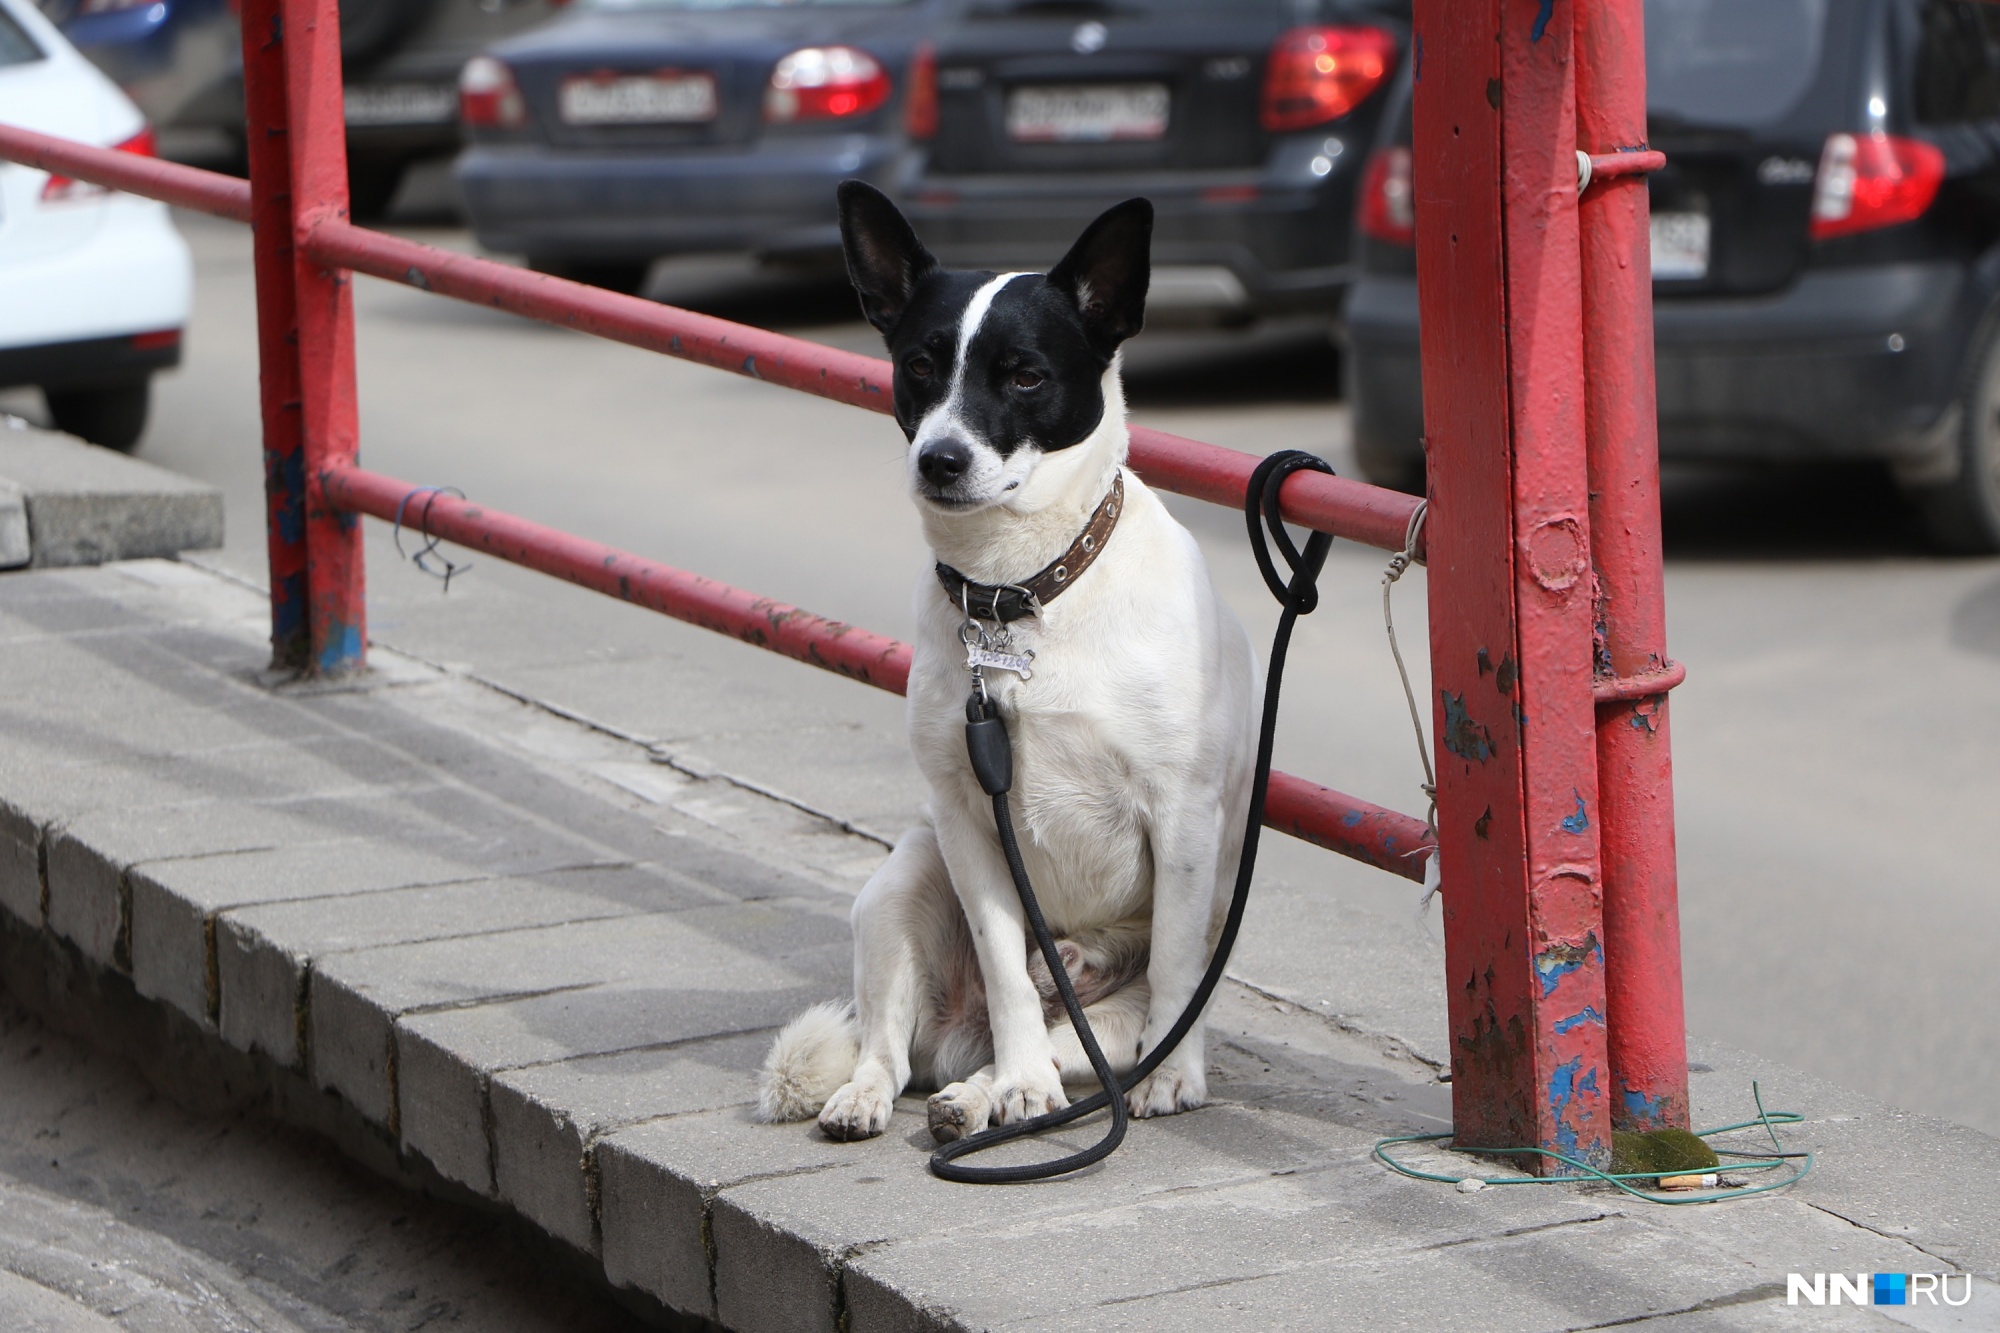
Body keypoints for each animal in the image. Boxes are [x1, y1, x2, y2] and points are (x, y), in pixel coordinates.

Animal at [756, 182, 1256, 1144]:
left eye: (1025, 375)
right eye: (918, 365)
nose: (940, 459)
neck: (1020, 595)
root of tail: (956, 1036)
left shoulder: (1182, 816)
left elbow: (1179, 966)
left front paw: (1175, 1078)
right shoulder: (966, 819)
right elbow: (1006, 968)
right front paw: (1020, 1081)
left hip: (1109, 1014)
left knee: (1090, 1041)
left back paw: (992, 1091)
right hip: (902, 884)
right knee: (899, 1044)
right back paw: (925, 1092)